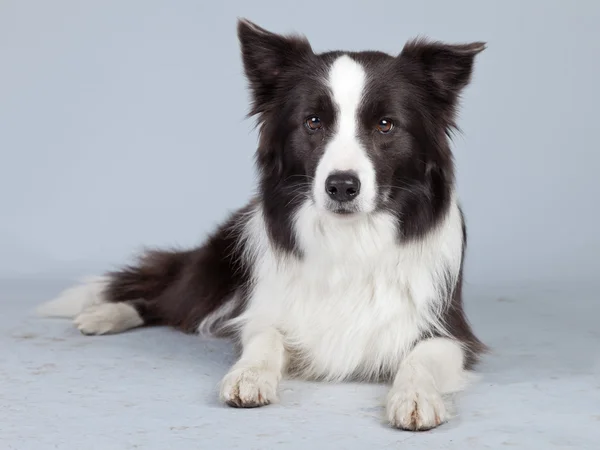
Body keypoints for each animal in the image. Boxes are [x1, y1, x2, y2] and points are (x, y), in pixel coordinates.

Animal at [37, 18, 486, 432]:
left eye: (385, 124)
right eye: (313, 122)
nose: (341, 186)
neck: (350, 241)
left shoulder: (450, 330)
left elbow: (419, 360)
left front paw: (415, 397)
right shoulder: (264, 307)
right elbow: (265, 337)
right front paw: (249, 375)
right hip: (217, 272)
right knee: (164, 301)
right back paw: (104, 314)